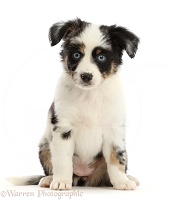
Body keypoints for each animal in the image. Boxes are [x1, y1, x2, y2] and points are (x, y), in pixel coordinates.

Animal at [8, 18, 140, 190]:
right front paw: (61, 182)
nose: (86, 76)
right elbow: (63, 160)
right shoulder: (63, 128)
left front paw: (122, 182)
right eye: (76, 55)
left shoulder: (114, 130)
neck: (90, 95)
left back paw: (128, 178)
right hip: (44, 146)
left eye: (101, 58)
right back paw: (49, 179)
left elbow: (116, 159)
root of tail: (85, 178)